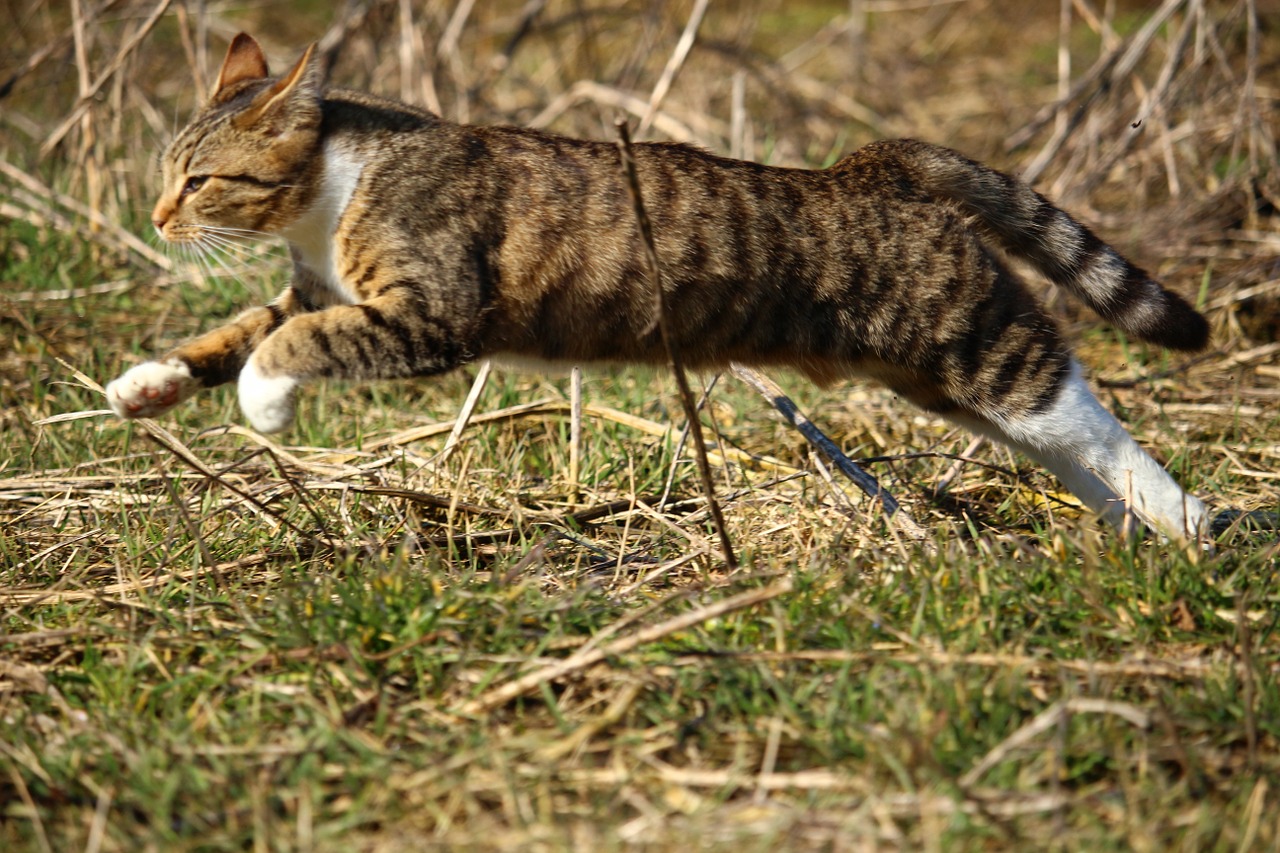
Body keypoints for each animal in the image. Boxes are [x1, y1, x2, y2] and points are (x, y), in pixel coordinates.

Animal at [107, 34, 1208, 537]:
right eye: (164, 168)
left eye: (199, 180)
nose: (155, 216)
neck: (336, 190)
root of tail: (868, 166)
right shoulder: (317, 287)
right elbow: (240, 328)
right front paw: (151, 382)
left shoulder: (430, 312)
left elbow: (289, 345)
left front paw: (265, 403)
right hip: (934, 375)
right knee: (1058, 442)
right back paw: (1134, 530)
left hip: (971, 337)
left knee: (1080, 411)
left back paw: (1193, 528)